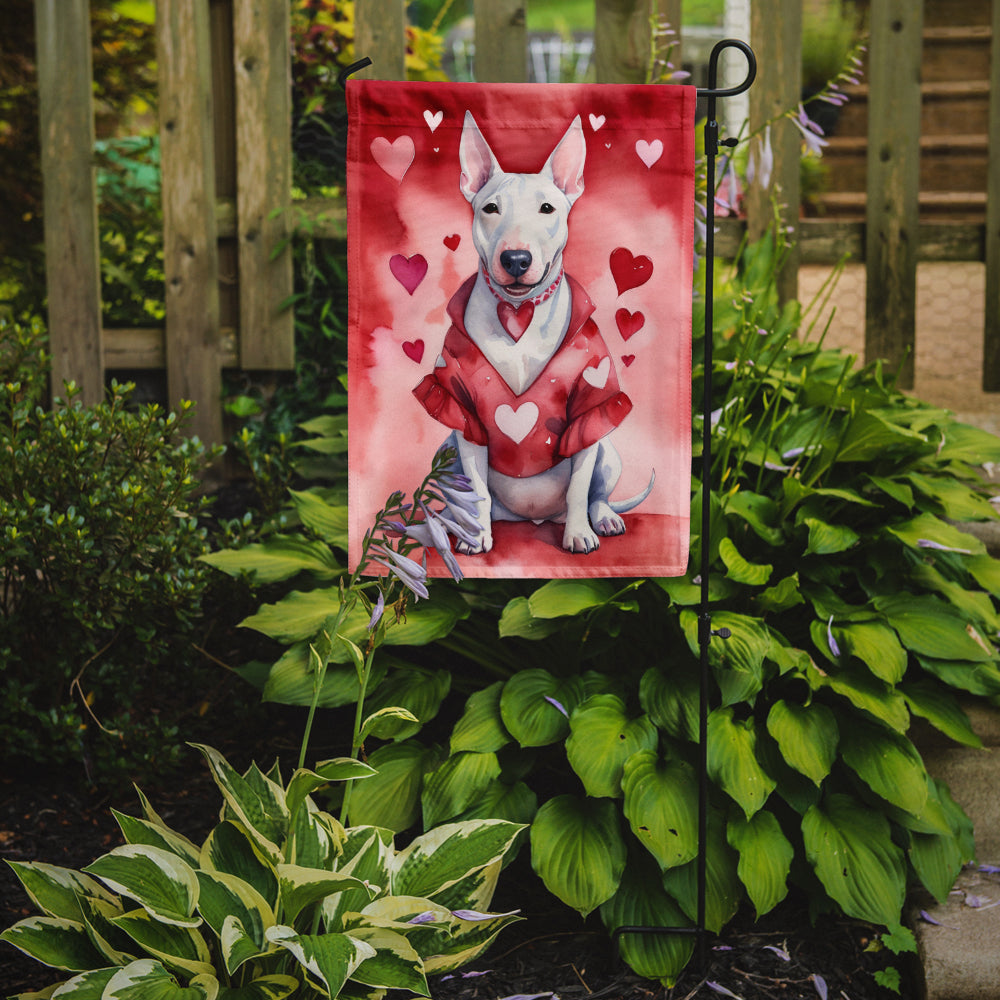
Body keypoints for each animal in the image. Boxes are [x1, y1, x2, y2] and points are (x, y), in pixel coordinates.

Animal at [410, 113, 652, 560]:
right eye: (490, 208)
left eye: (547, 207)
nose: (516, 259)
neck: (518, 313)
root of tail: (532, 519)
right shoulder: (462, 411)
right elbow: (478, 490)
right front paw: (477, 538)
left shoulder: (588, 407)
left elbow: (578, 488)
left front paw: (579, 535)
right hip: (446, 450)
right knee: (464, 497)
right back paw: (456, 523)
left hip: (609, 450)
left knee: (596, 494)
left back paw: (603, 519)